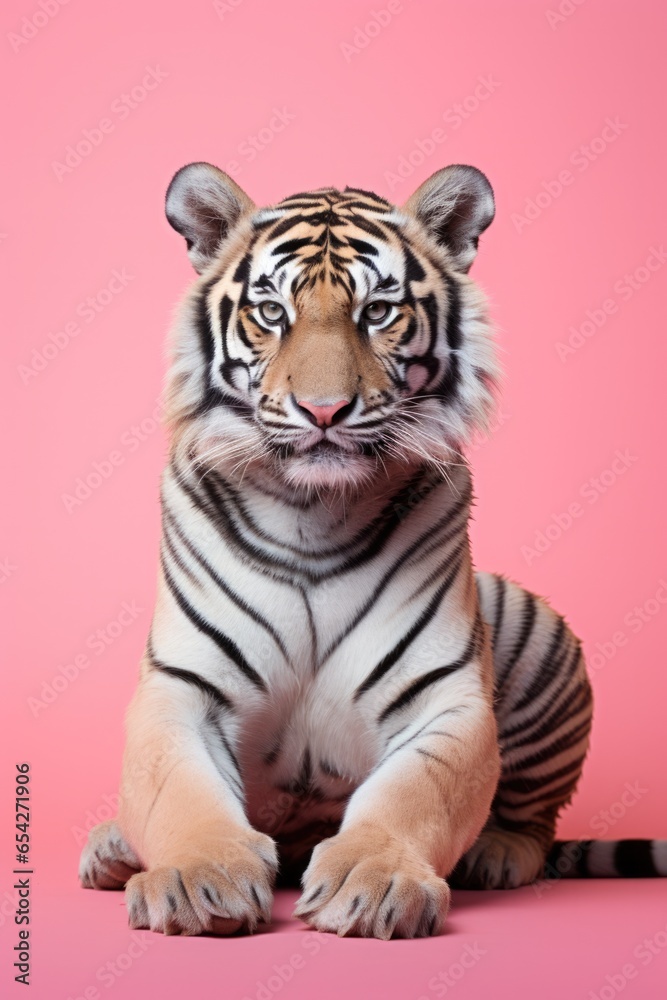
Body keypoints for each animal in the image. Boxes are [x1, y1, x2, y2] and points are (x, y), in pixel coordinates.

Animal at [79, 161, 667, 939]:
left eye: (378, 313)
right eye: (272, 312)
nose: (324, 410)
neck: (311, 512)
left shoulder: (444, 698)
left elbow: (412, 795)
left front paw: (375, 881)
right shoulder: (182, 689)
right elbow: (183, 794)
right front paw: (199, 879)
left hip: (533, 630)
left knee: (534, 822)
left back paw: (497, 853)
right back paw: (113, 848)